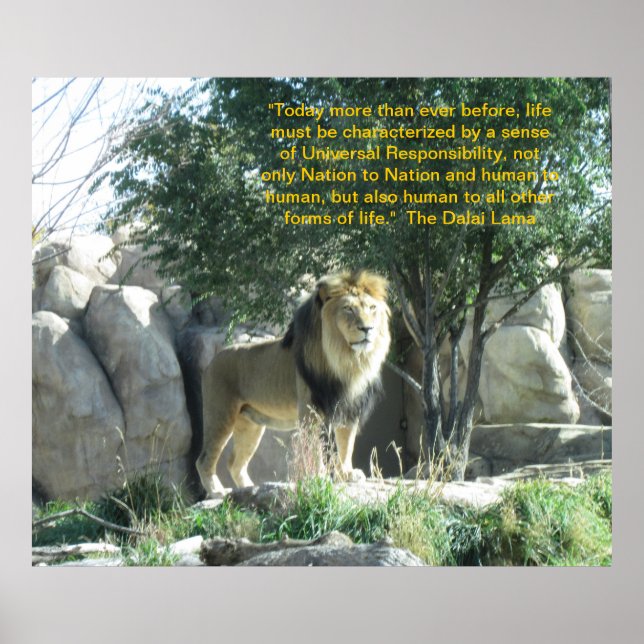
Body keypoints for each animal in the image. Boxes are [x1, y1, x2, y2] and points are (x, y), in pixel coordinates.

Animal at [196, 269, 391, 497]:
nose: (367, 328)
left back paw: (249, 489)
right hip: (220, 415)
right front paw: (319, 477)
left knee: (235, 462)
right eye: (348, 309)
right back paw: (217, 491)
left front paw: (346, 474)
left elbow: (346, 443)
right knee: (204, 459)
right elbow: (315, 448)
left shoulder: (349, 406)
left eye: (372, 308)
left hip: (250, 424)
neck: (347, 360)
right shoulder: (310, 410)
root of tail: (212, 361)